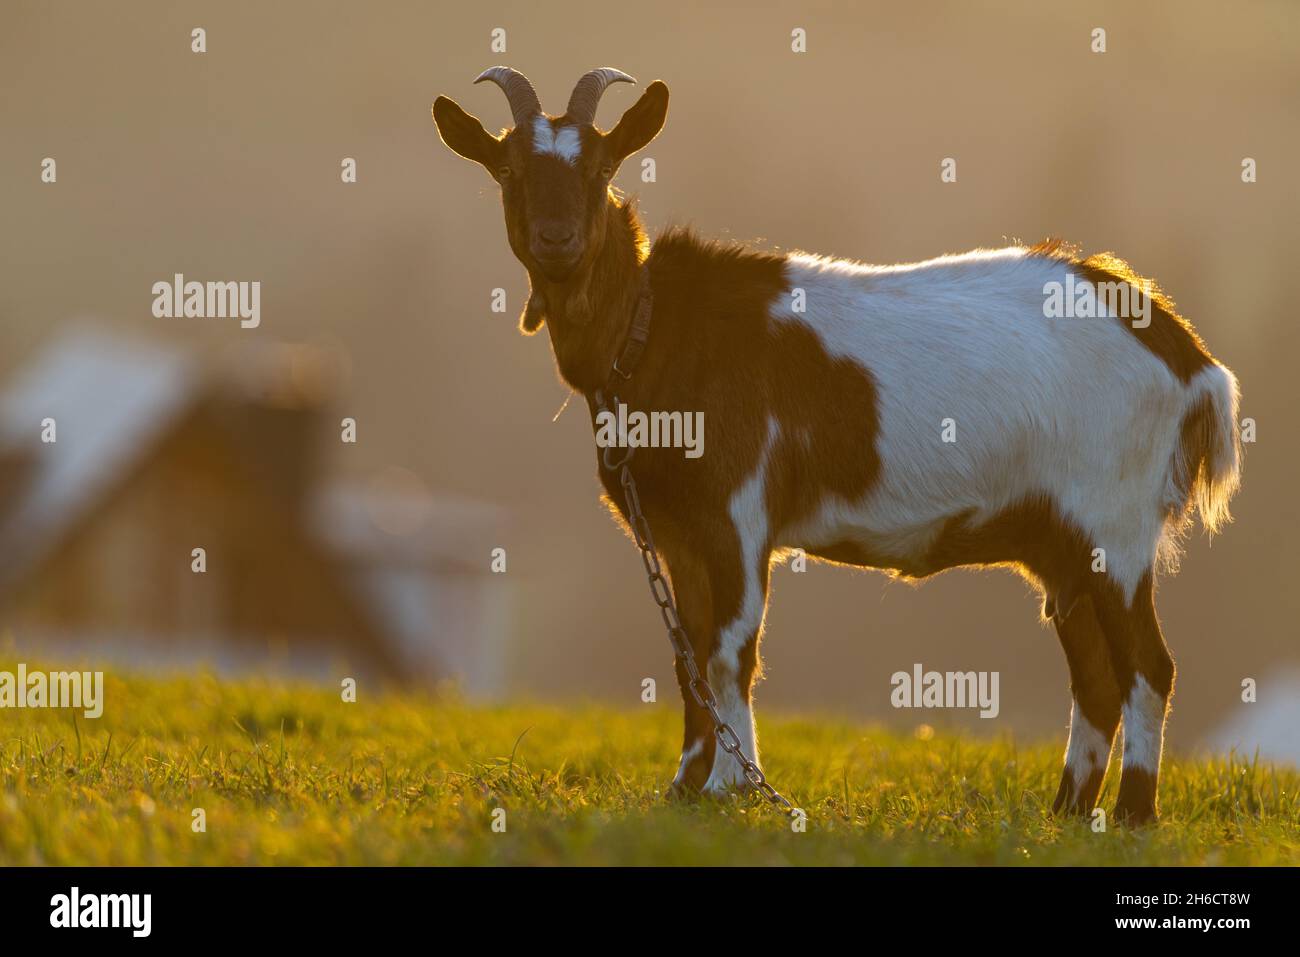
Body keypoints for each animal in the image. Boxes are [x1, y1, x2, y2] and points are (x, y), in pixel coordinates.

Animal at [432, 66, 1242, 824]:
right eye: (507, 170)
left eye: (602, 168)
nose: (557, 241)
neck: (655, 327)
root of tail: (1186, 355)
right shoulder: (676, 530)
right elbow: (687, 654)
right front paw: (686, 788)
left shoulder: (739, 511)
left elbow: (729, 651)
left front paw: (731, 788)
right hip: (1059, 543)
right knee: (1096, 676)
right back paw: (1068, 812)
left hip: (1115, 522)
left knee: (1149, 667)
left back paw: (1134, 814)